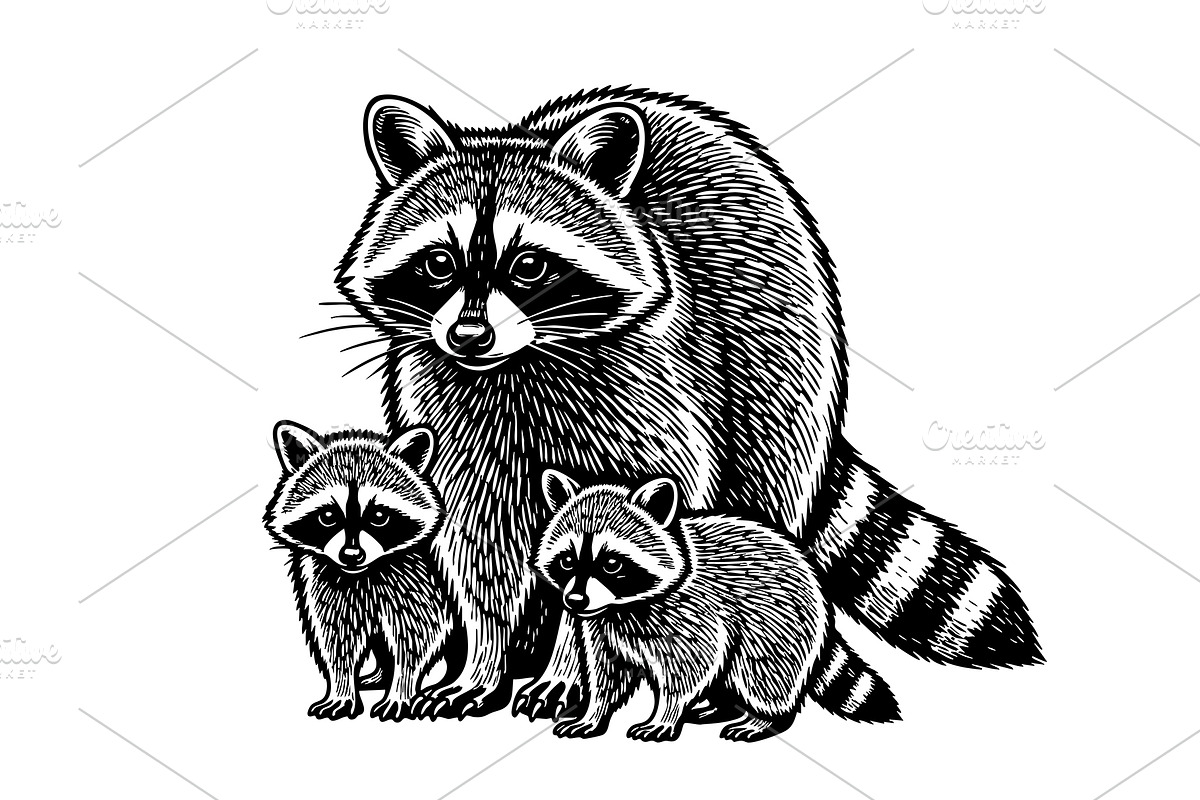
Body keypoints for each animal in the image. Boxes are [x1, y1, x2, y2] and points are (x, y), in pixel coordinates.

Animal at [263, 421, 459, 721]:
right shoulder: (328, 580)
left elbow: (419, 636)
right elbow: (337, 637)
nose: (352, 555)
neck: (363, 573)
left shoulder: (421, 578)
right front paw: (342, 688)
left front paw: (401, 688)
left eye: (379, 516)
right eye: (328, 516)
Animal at [530, 470, 900, 742]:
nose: (574, 600)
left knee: (760, 673)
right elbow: (607, 674)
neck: (624, 604)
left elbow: (690, 670)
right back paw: (721, 706)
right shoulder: (601, 628)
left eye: (611, 564)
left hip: (779, 625)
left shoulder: (695, 613)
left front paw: (666, 714)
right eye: (567, 561)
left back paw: (765, 718)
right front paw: (594, 712)